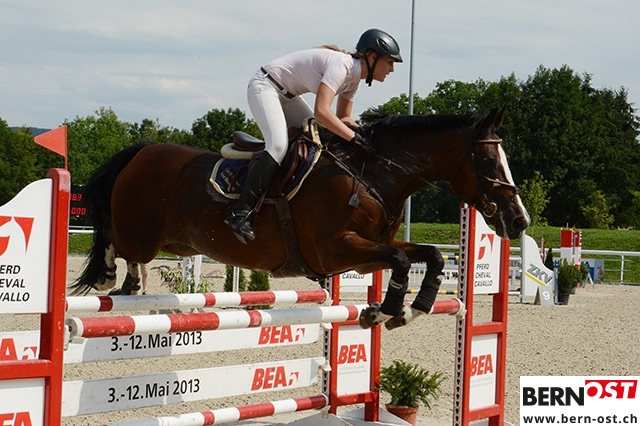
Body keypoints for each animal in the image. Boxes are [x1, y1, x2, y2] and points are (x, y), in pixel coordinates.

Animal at [72, 109, 529, 329]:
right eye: (489, 162)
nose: (519, 221)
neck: (372, 174)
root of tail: (143, 151)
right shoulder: (334, 251)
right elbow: (402, 261)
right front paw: (382, 313)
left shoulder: (369, 251)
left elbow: (429, 256)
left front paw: (407, 311)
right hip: (142, 232)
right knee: (115, 241)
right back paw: (111, 277)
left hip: (177, 242)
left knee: (132, 256)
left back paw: (129, 284)